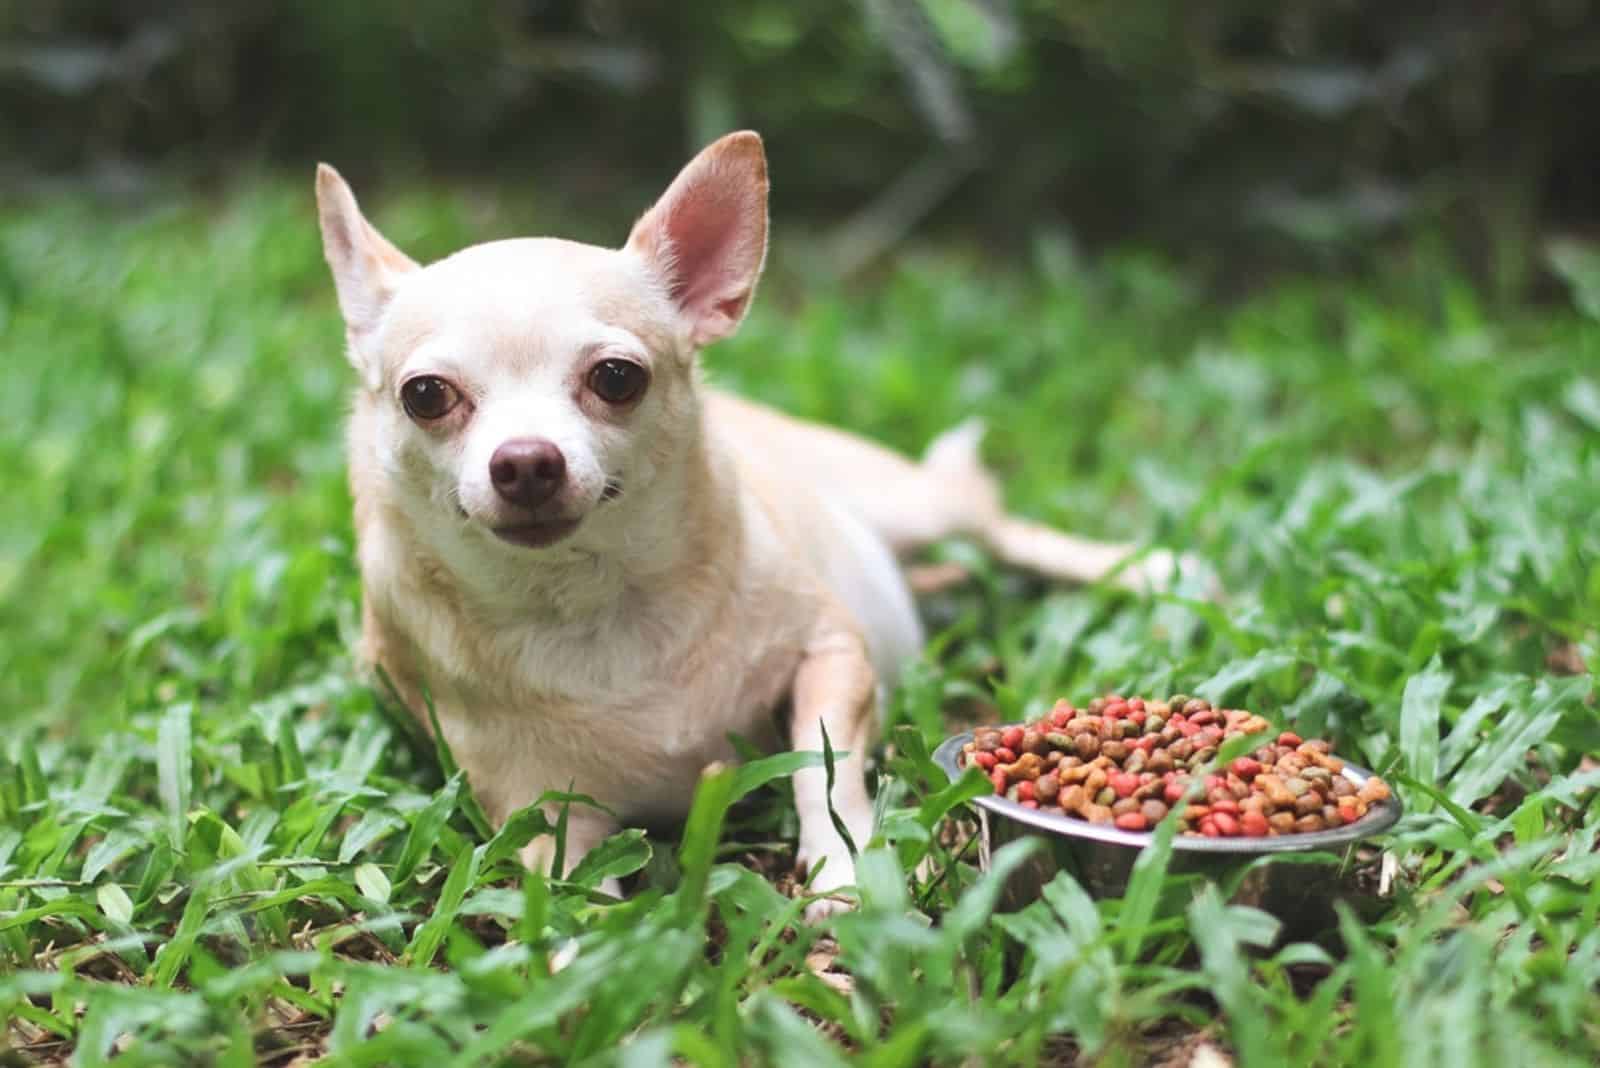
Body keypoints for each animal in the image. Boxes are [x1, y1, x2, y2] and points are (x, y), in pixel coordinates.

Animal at [315, 131, 1190, 920]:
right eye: (426, 396)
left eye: (616, 379)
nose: (526, 462)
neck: (591, 605)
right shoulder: (534, 811)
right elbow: (574, 898)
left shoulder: (833, 654)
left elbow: (823, 767)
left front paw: (845, 869)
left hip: (914, 505)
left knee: (995, 524)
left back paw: (1157, 569)